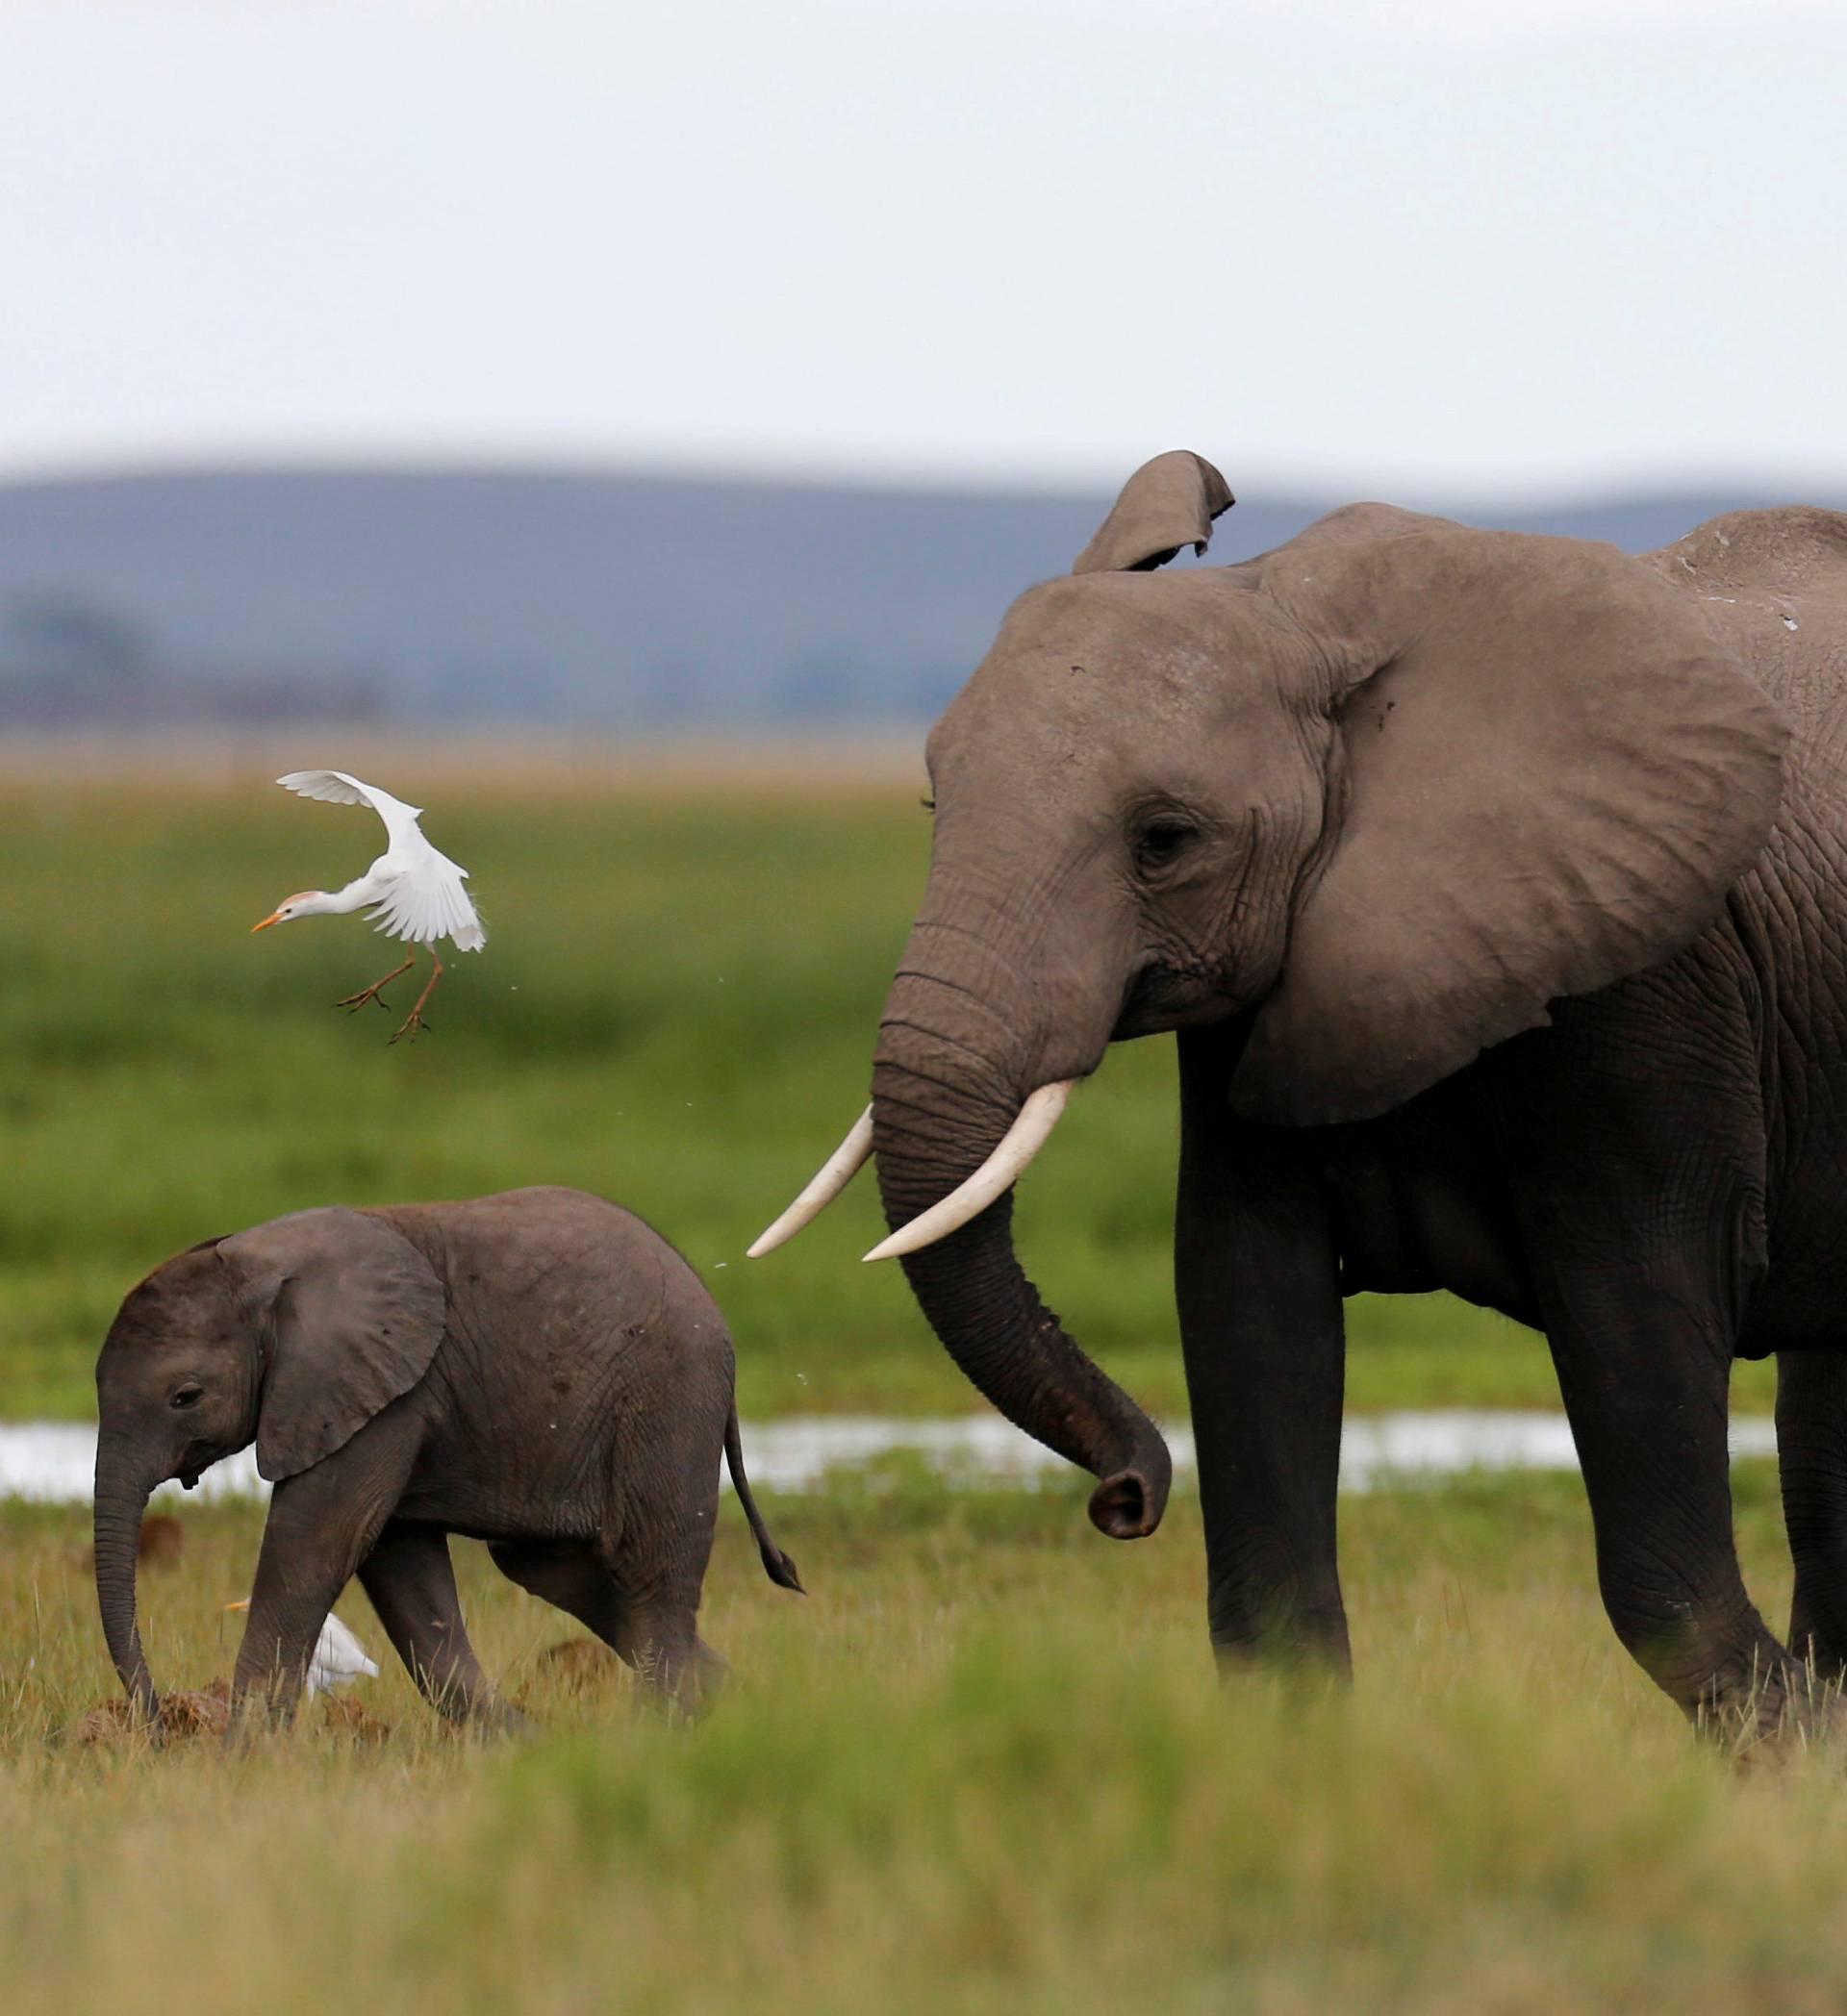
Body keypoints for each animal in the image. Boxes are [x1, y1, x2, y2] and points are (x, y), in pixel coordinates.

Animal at [91, 1177, 802, 1733]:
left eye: (186, 1397)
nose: (158, 1727)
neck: (259, 1259)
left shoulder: (382, 1392)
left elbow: (316, 1543)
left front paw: (242, 1761)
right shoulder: (383, 1395)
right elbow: (401, 1569)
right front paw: (524, 1747)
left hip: (668, 1396)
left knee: (649, 1574)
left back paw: (661, 1736)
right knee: (562, 1572)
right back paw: (739, 1708)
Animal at [749, 453, 1847, 1733]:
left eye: (1166, 840)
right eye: (934, 809)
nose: (1126, 1497)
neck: (1299, 614)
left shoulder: (1652, 975)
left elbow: (1638, 1320)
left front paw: (1791, 1747)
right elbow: (1245, 1297)